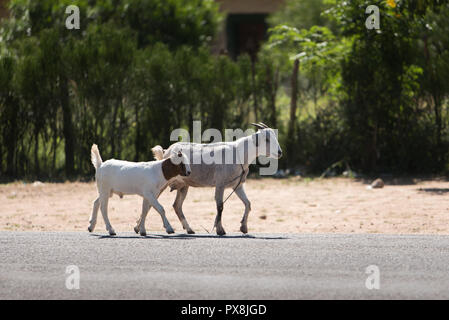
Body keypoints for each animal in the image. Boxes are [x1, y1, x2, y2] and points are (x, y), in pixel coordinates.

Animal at [152, 122, 282, 235]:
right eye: (267, 139)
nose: (280, 152)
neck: (239, 154)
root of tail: (166, 152)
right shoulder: (220, 184)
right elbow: (220, 206)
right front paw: (220, 230)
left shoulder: (237, 186)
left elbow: (248, 204)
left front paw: (243, 227)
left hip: (183, 185)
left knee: (177, 206)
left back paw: (189, 229)